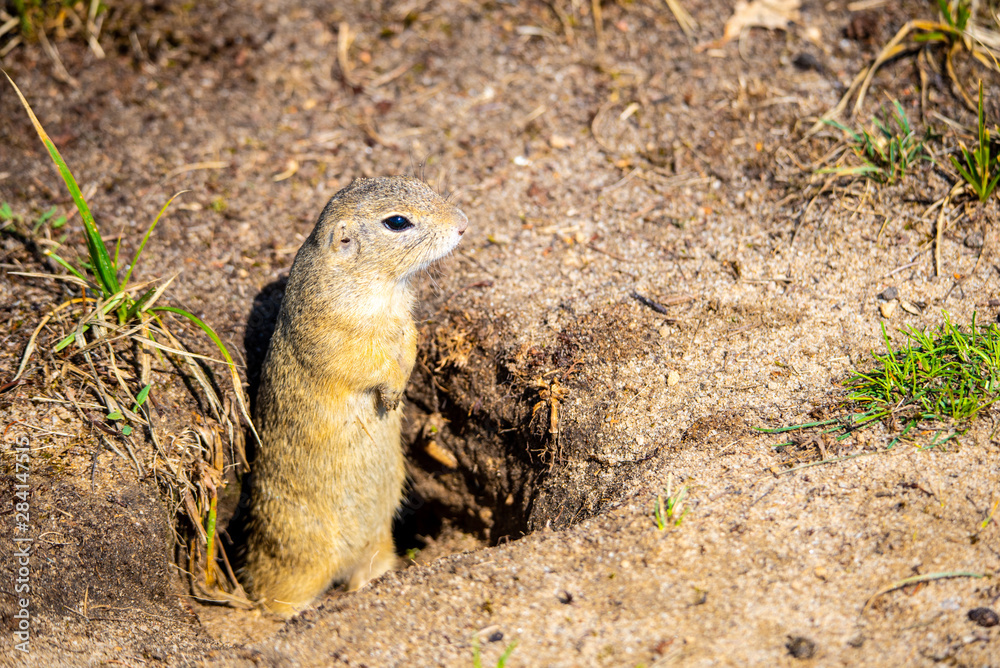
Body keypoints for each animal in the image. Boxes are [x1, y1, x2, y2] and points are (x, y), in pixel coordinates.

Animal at [240, 176, 468, 617]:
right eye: (397, 222)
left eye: (419, 182)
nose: (464, 223)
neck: (380, 286)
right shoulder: (336, 336)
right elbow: (368, 363)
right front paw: (392, 391)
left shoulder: (406, 322)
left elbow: (409, 343)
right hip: (295, 567)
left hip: (378, 545)